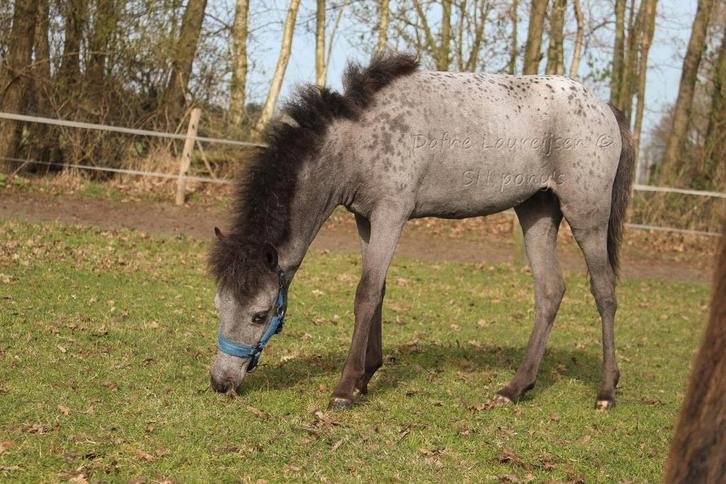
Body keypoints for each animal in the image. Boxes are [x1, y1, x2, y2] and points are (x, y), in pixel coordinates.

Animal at [209, 51, 634, 411]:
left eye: (259, 315)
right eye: (220, 304)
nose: (220, 382)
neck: (358, 139)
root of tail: (605, 108)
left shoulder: (391, 215)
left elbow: (365, 294)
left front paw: (346, 388)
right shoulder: (366, 220)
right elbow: (378, 291)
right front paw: (366, 375)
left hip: (587, 217)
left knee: (605, 293)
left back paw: (606, 391)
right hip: (536, 213)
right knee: (549, 292)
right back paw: (516, 388)